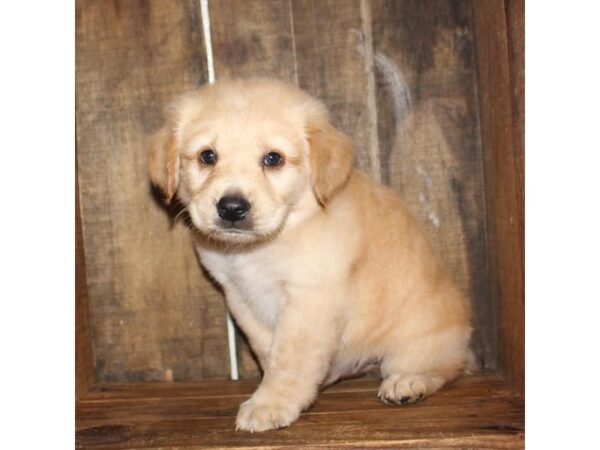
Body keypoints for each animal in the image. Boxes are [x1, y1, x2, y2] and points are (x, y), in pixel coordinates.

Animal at [149, 79, 474, 430]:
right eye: (207, 156)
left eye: (273, 159)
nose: (232, 208)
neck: (266, 243)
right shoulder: (240, 297)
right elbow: (269, 352)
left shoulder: (309, 299)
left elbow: (290, 360)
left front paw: (271, 403)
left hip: (417, 342)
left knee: (446, 366)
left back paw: (409, 382)